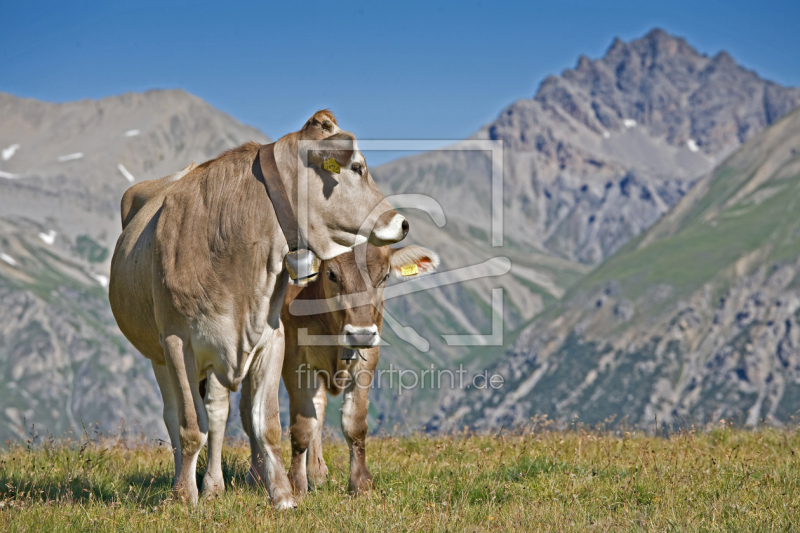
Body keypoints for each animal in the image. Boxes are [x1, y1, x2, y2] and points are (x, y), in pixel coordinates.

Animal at [109, 110, 410, 504]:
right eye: (358, 167)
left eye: (385, 276)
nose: (402, 222)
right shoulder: (176, 342)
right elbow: (190, 426)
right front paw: (184, 497)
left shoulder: (272, 339)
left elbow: (266, 424)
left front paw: (283, 495)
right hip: (158, 353)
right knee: (175, 415)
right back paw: (187, 483)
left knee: (218, 411)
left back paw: (216, 485)